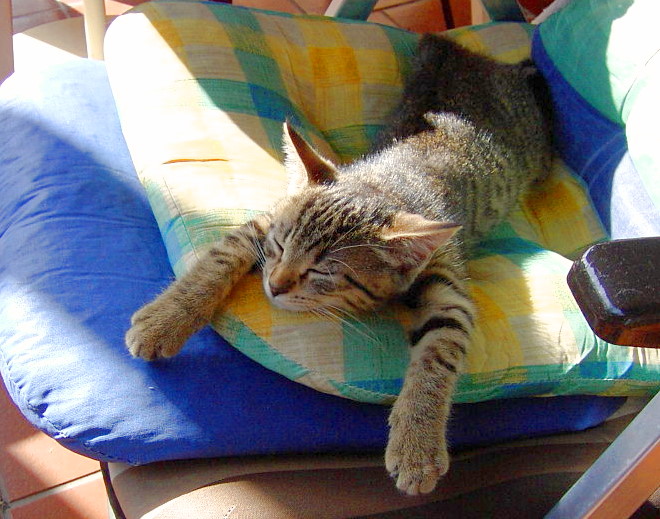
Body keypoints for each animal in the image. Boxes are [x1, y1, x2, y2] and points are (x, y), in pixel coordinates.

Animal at [125, 33, 553, 496]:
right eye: (280, 246)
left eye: (323, 272)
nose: (274, 286)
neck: (389, 183)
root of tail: (471, 59)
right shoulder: (264, 223)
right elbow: (218, 259)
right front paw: (166, 320)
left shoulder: (447, 283)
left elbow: (440, 350)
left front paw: (417, 441)